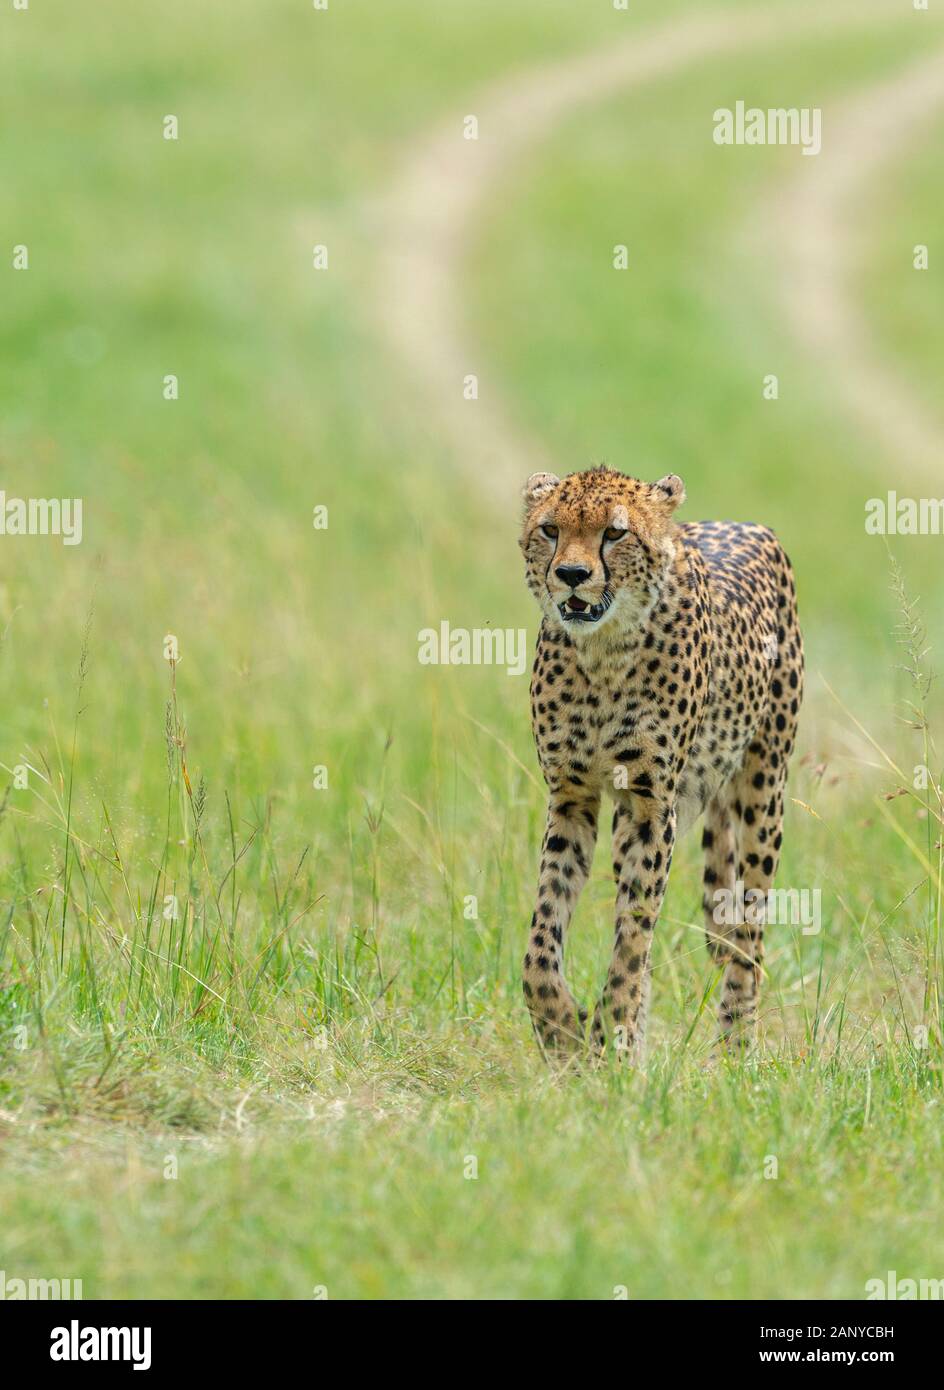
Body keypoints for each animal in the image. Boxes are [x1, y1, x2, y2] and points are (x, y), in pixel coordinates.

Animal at [517, 467, 806, 1061]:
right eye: (550, 529)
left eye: (615, 533)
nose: (572, 575)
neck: (602, 653)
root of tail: (744, 523)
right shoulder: (572, 798)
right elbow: (542, 938)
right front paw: (562, 1031)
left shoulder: (652, 805)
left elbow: (633, 936)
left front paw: (612, 1032)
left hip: (764, 786)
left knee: (749, 936)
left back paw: (735, 1045)